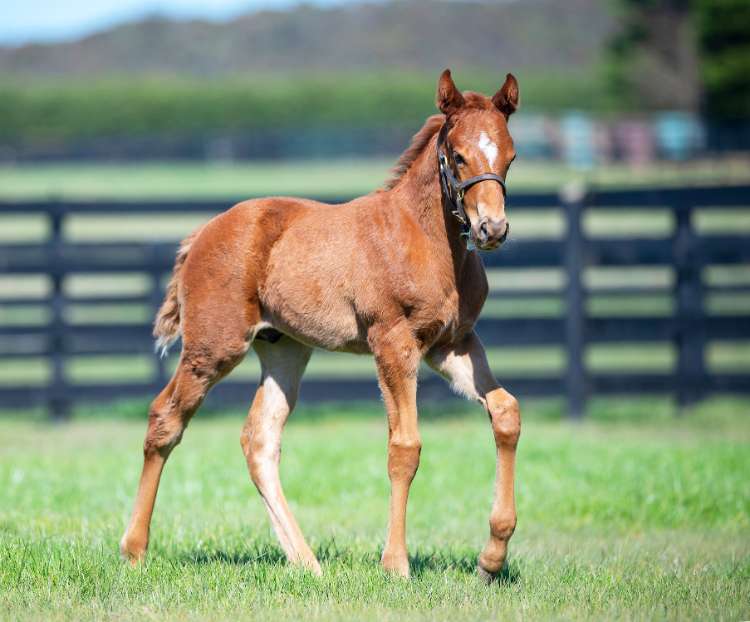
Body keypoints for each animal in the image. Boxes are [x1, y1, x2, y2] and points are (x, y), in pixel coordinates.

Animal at [120, 68, 521, 582]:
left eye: (510, 155)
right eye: (457, 155)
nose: (492, 229)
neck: (425, 239)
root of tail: (201, 235)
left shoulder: (452, 343)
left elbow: (506, 412)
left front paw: (491, 559)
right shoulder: (392, 343)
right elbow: (404, 447)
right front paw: (396, 564)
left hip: (284, 348)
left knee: (260, 439)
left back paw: (306, 561)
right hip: (213, 348)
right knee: (165, 418)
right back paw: (134, 549)